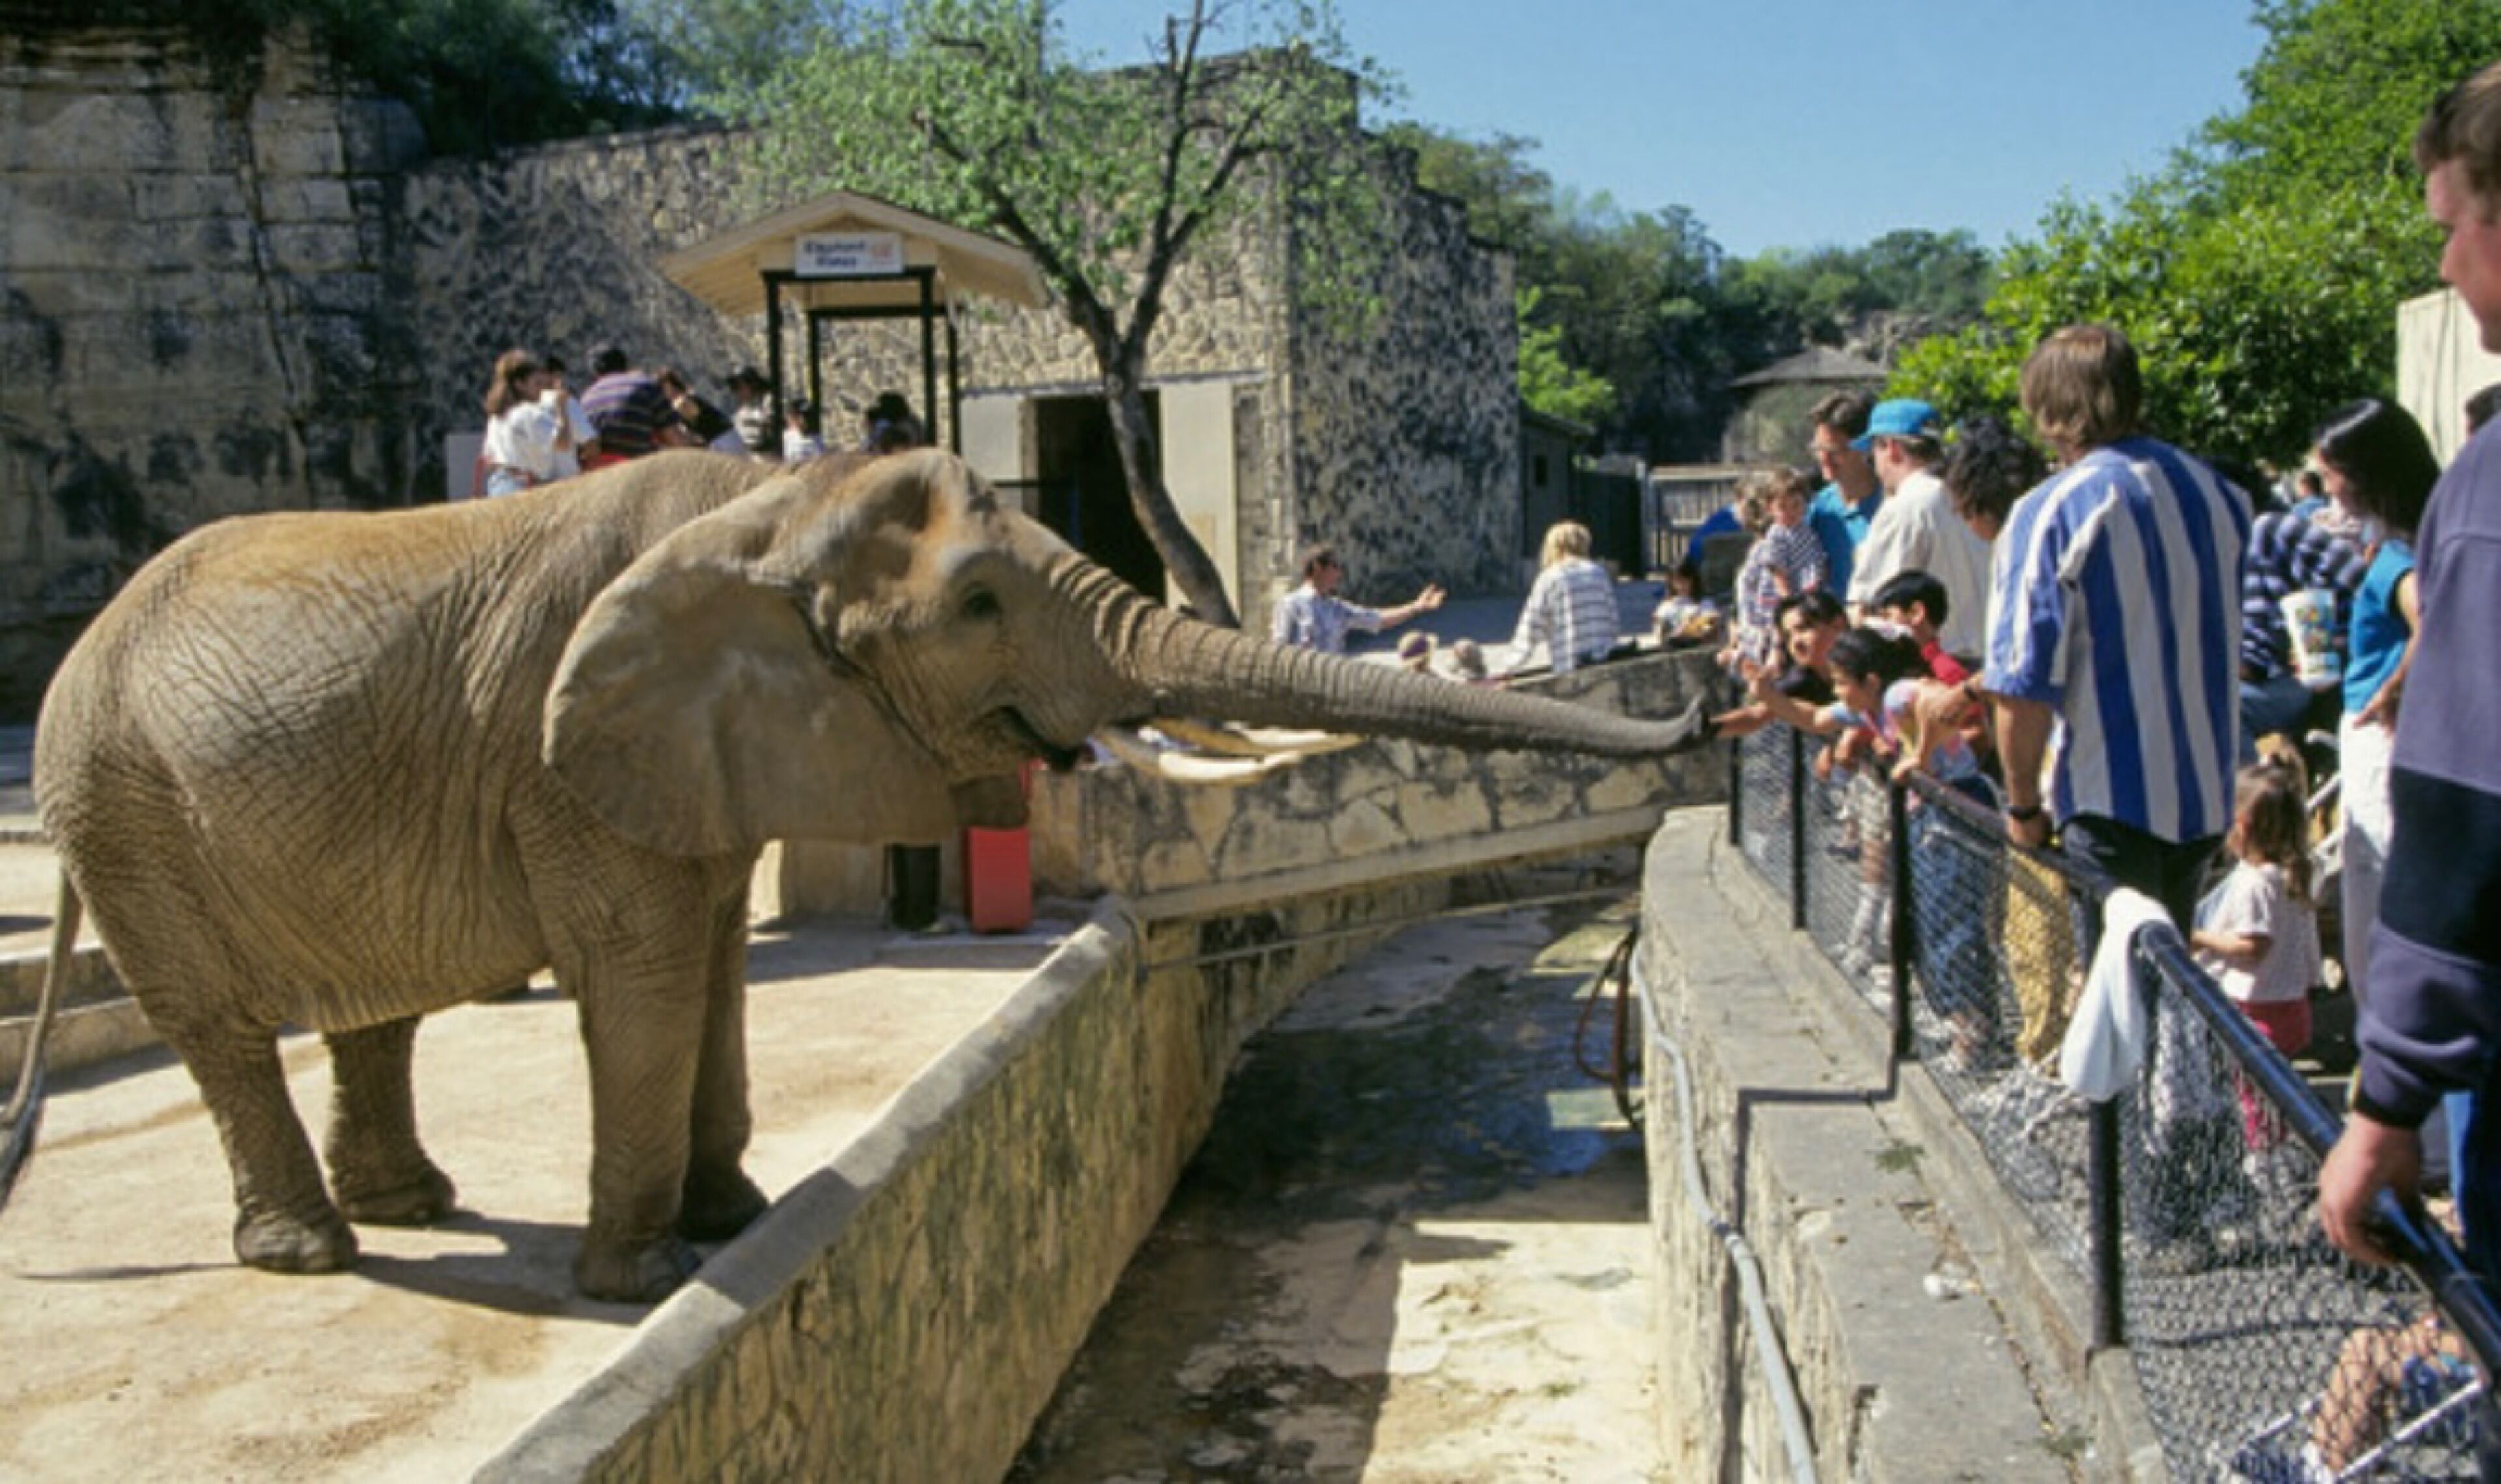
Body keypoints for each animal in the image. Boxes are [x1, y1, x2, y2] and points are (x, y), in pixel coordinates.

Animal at [12, 447, 1708, 1302]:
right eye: (976, 605)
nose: (1710, 714)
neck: (767, 493)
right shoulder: (574, 749)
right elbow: (643, 965)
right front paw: (644, 1279)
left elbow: (707, 951)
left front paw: (738, 1212)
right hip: (123, 803)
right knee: (223, 1027)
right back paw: (314, 1250)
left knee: (376, 1002)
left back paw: (411, 1205)